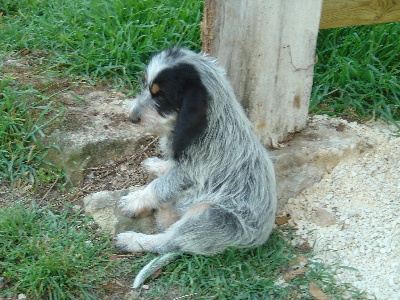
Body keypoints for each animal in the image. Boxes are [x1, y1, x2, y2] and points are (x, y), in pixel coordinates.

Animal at [114, 47, 276, 288]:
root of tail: (258, 241)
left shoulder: (189, 173)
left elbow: (158, 186)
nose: (131, 118)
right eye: (145, 85)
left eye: (161, 96)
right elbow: (167, 170)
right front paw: (157, 165)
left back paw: (132, 240)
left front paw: (134, 201)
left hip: (211, 214)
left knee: (168, 242)